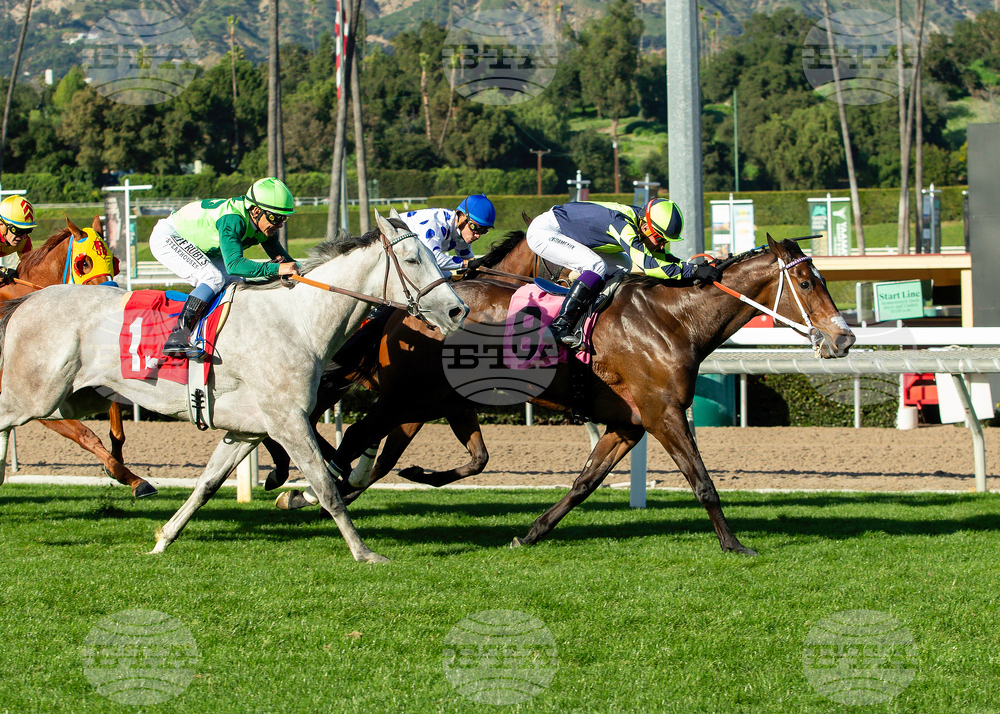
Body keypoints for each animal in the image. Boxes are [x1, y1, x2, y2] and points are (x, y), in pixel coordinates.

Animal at [0, 216, 156, 498]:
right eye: (84, 263)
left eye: (113, 260)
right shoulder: (34, 404)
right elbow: (86, 434)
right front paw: (131, 477)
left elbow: (116, 426)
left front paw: (119, 465)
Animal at [289, 233, 855, 555]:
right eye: (808, 282)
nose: (845, 338)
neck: (673, 320)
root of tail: (399, 306)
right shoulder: (664, 413)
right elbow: (703, 482)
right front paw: (735, 544)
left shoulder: (628, 424)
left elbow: (584, 483)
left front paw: (531, 533)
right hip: (406, 397)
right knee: (356, 438)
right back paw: (310, 493)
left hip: (424, 402)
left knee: (381, 454)